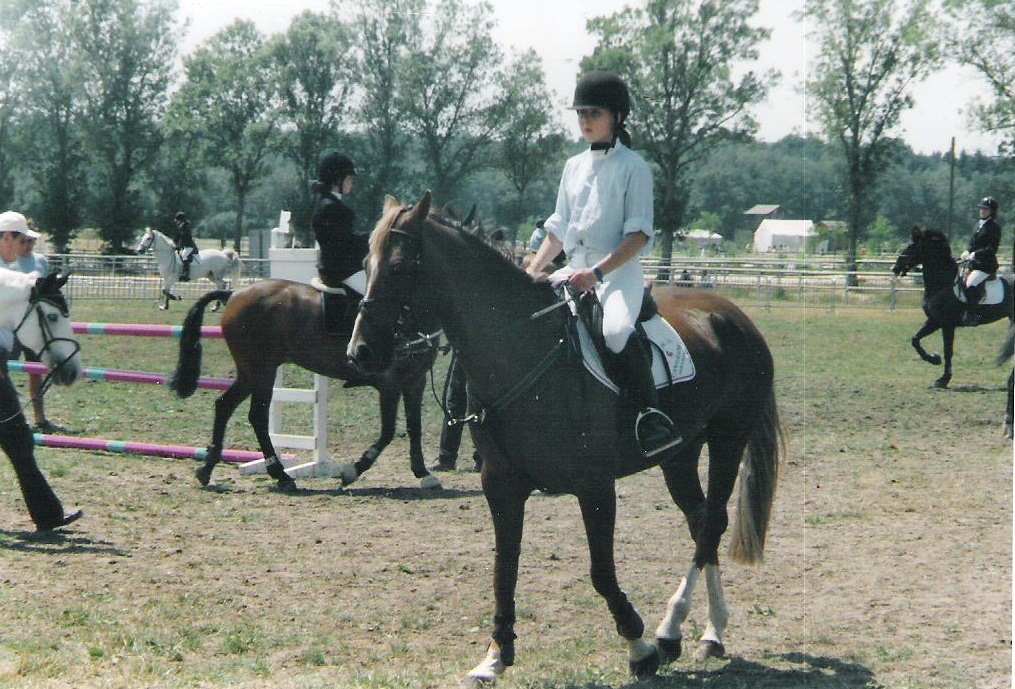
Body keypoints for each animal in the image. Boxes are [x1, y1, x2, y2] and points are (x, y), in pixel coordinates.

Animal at [168, 282, 442, 495]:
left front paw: (423, 473)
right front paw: (353, 471)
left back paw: (207, 469)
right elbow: (388, 432)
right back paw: (281, 476)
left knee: (224, 406)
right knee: (257, 416)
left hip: (250, 374)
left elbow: (414, 428)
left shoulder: (415, 381)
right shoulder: (390, 384)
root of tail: (235, 293)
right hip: (262, 372)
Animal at [349, 192, 783, 685]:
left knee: (712, 524)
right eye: (365, 262)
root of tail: (733, 315)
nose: (359, 352)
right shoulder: (501, 486)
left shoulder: (594, 486)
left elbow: (601, 571)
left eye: (400, 266)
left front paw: (638, 649)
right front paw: (495, 656)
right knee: (699, 520)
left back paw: (692, 631)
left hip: (728, 439)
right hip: (681, 453)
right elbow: (504, 569)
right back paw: (685, 632)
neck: (523, 352)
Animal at [893, 226, 1010, 387]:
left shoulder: (947, 324)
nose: (895, 268)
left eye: (911, 247)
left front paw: (943, 379)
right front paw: (934, 359)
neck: (942, 283)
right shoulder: (934, 321)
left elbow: (948, 351)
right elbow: (915, 339)